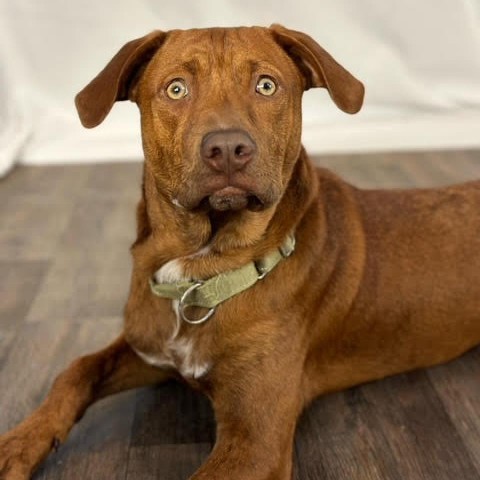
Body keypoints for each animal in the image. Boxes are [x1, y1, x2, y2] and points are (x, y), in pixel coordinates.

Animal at [0, 23, 480, 480]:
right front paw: (18, 444)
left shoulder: (254, 445)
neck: (202, 271)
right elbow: (77, 369)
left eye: (266, 85)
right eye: (176, 89)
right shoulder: (150, 349)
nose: (228, 149)